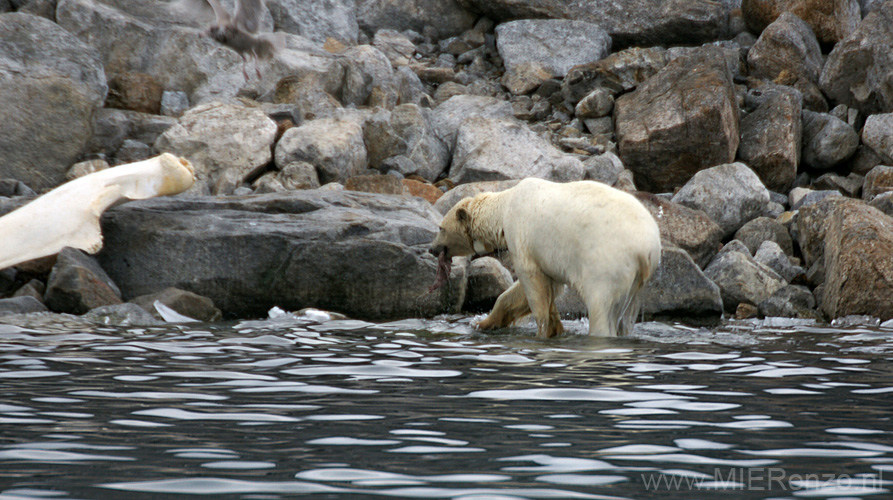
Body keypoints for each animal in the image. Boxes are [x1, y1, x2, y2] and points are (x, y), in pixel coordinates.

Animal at [428, 178, 660, 338]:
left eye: (440, 228)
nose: (432, 249)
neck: (505, 206)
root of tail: (647, 249)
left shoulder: (520, 235)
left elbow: (532, 283)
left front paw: (543, 332)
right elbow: (541, 287)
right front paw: (482, 323)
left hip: (606, 264)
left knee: (600, 306)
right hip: (637, 283)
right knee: (627, 316)